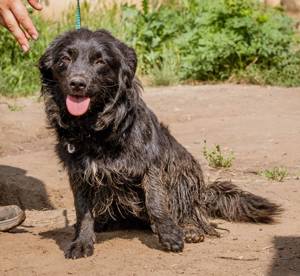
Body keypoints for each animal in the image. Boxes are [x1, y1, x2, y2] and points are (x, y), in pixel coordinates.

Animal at [38, 29, 282, 260]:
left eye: (100, 61)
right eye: (65, 59)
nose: (77, 83)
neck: (95, 129)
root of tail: (203, 194)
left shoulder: (152, 164)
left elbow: (156, 202)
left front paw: (169, 234)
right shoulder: (79, 172)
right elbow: (83, 211)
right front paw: (82, 241)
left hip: (184, 172)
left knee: (190, 210)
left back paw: (190, 228)